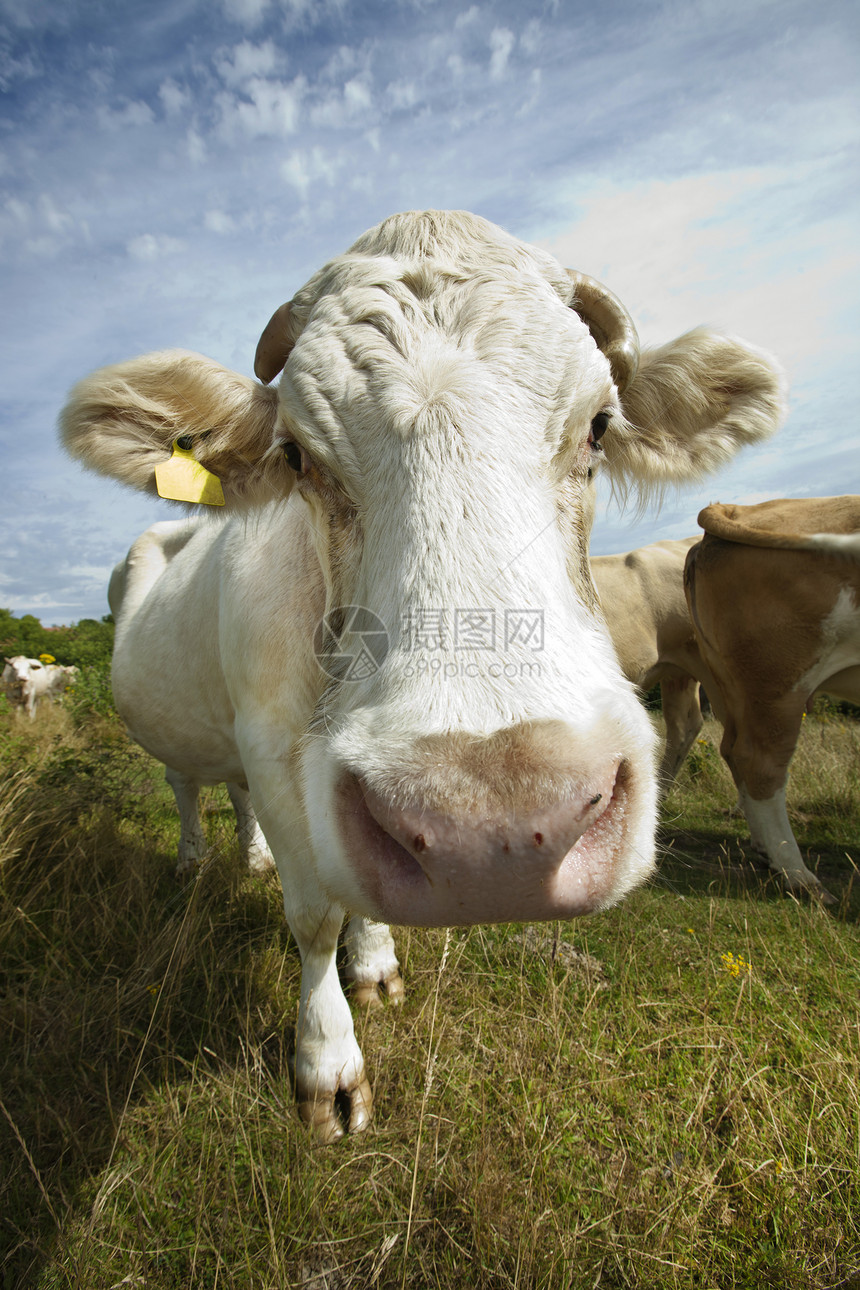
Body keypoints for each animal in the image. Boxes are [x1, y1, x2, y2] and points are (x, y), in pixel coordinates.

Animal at [60, 206, 789, 1135]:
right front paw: (328, 1065)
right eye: (296, 454)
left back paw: (247, 856)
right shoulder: (275, 746)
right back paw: (194, 859)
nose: (491, 835)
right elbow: (313, 913)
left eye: (598, 425)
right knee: (187, 784)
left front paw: (374, 968)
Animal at [685, 495, 860, 908]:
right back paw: (799, 877)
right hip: (778, 684)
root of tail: (731, 509)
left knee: (733, 751)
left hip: (733, 687)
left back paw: (768, 854)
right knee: (760, 762)